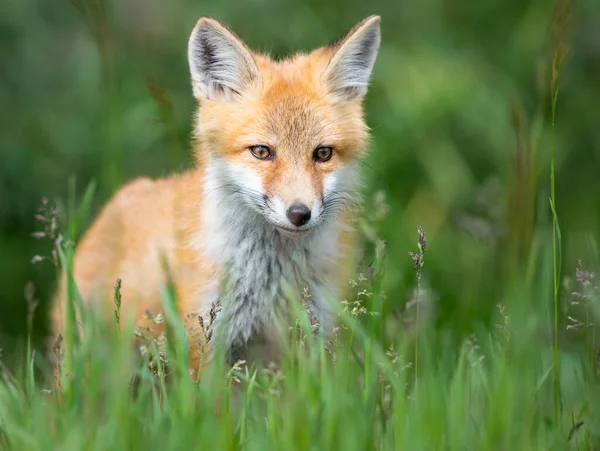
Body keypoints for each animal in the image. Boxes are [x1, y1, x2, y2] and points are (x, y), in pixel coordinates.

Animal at [50, 14, 380, 376]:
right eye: (261, 151)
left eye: (322, 153)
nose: (299, 213)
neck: (271, 278)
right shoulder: (205, 337)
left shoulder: (314, 336)